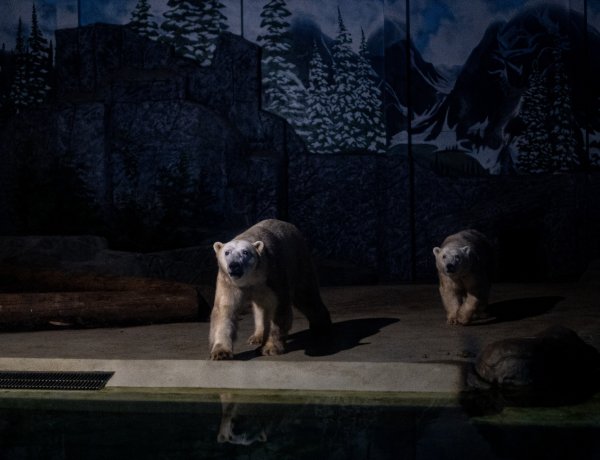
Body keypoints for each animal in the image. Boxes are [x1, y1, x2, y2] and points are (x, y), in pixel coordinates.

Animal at [210, 219, 332, 360]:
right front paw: (220, 352)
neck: (252, 278)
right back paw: (257, 336)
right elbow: (225, 310)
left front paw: (269, 348)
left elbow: (278, 308)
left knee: (306, 295)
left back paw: (322, 327)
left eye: (246, 252)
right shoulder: (228, 281)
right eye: (226, 252)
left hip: (299, 261)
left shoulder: (273, 275)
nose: (234, 266)